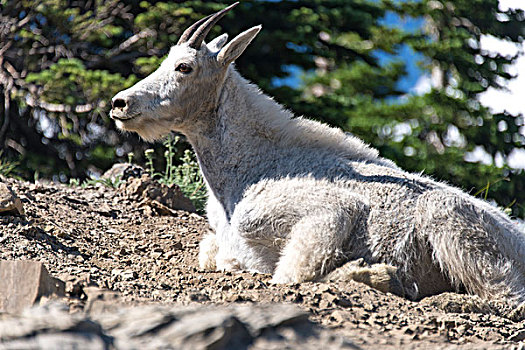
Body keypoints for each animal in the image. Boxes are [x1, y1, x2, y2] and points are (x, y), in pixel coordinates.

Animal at [110, 2, 524, 308]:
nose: (120, 103)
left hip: (455, 227)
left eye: (184, 67)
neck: (245, 171)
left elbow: (289, 276)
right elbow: (214, 254)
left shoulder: (327, 214)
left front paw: (374, 275)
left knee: (506, 297)